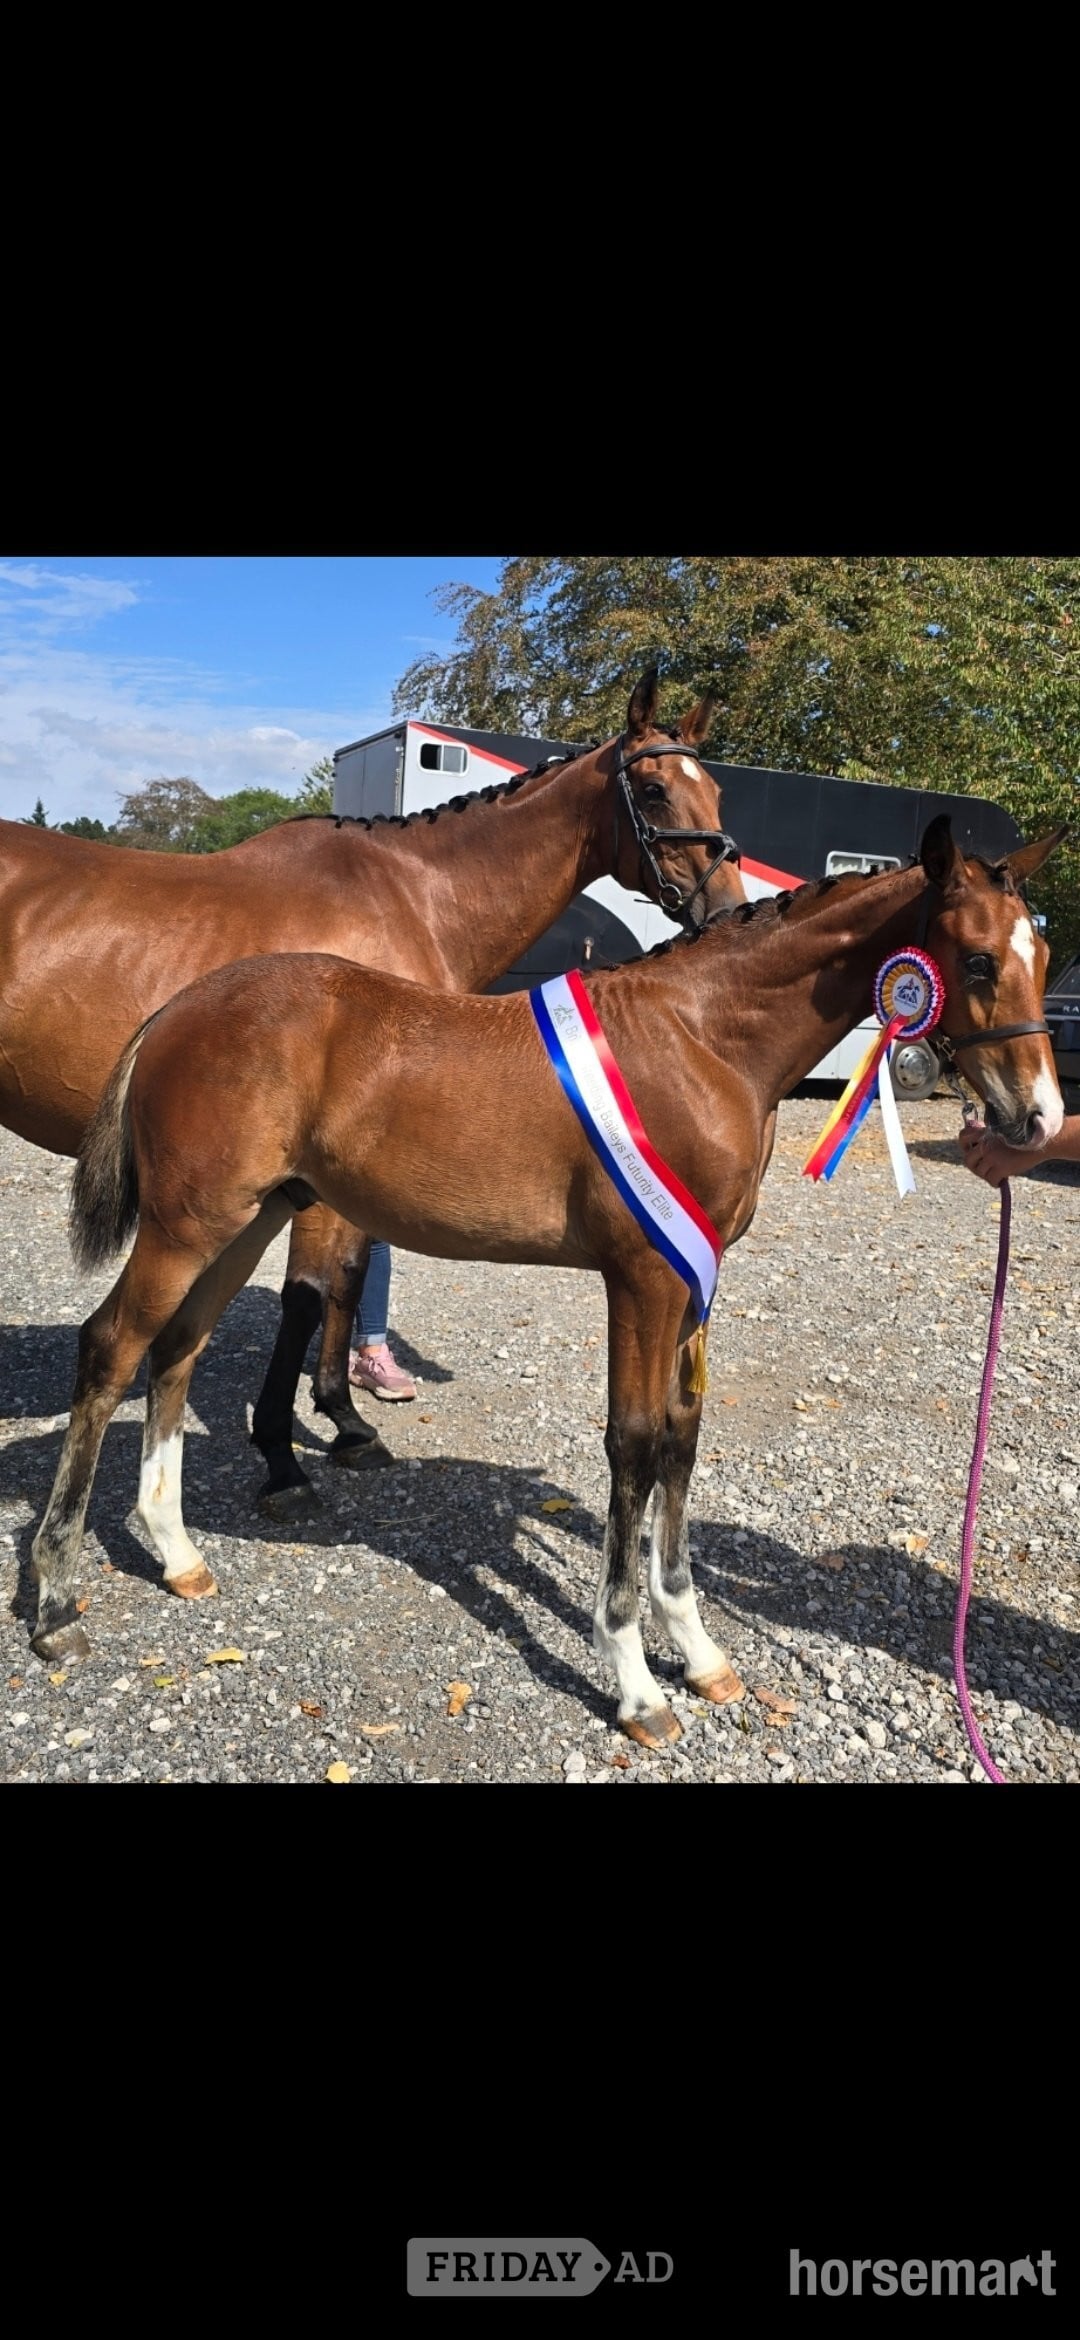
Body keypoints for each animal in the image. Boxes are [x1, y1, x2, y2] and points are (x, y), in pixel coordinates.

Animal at [0, 668, 744, 1508]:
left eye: (715, 788)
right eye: (653, 789)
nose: (728, 906)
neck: (413, 898)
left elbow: (350, 1280)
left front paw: (343, 1418)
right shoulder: (316, 1180)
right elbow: (309, 1294)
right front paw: (283, 1454)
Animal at [30, 814, 1064, 1744]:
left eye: (1043, 958)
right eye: (976, 961)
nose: (1038, 1119)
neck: (702, 1041)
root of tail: (180, 1007)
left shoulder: (696, 1279)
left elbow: (682, 1440)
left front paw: (701, 1653)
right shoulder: (643, 1277)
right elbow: (635, 1447)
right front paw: (636, 1682)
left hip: (246, 1220)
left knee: (177, 1348)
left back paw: (176, 1554)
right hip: (186, 1226)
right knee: (111, 1347)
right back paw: (52, 1601)